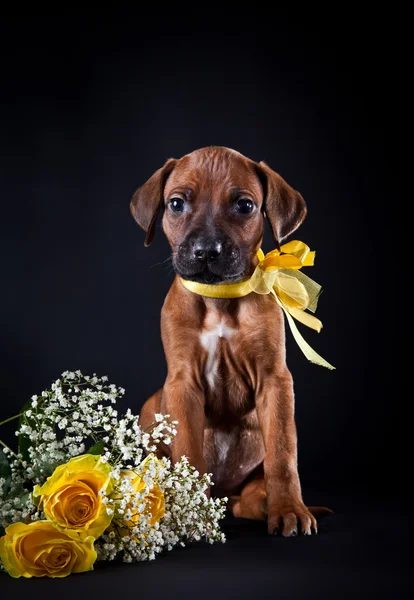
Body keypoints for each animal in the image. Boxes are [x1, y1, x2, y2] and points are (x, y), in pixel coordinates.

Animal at [131, 148, 328, 536]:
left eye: (244, 205)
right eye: (176, 204)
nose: (207, 251)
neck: (219, 297)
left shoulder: (274, 379)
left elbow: (283, 453)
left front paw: (290, 509)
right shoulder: (182, 384)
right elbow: (189, 453)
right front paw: (192, 510)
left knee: (250, 497)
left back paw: (264, 505)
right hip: (152, 407)